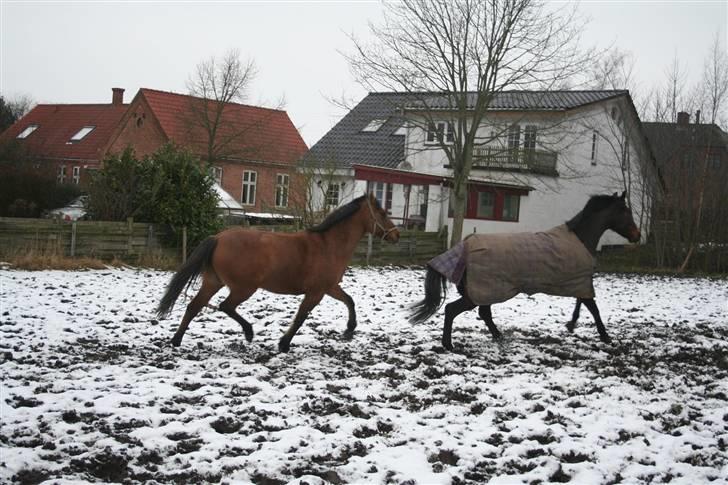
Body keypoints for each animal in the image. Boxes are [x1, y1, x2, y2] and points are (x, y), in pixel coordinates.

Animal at [156, 193, 400, 352]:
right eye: (382, 213)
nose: (396, 235)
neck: (329, 244)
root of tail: (218, 238)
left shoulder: (329, 287)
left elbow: (349, 301)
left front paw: (349, 331)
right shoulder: (316, 292)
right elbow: (301, 317)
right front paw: (284, 344)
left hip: (213, 282)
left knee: (194, 306)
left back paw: (176, 341)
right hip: (243, 288)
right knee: (225, 306)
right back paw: (248, 332)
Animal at [412, 191, 640, 350]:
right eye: (625, 211)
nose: (637, 236)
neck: (580, 238)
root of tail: (464, 247)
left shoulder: (578, 281)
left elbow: (581, 304)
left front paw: (571, 324)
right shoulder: (582, 282)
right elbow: (593, 308)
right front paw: (605, 336)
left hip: (487, 292)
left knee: (483, 313)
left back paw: (498, 336)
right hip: (480, 293)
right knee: (453, 310)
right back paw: (449, 344)